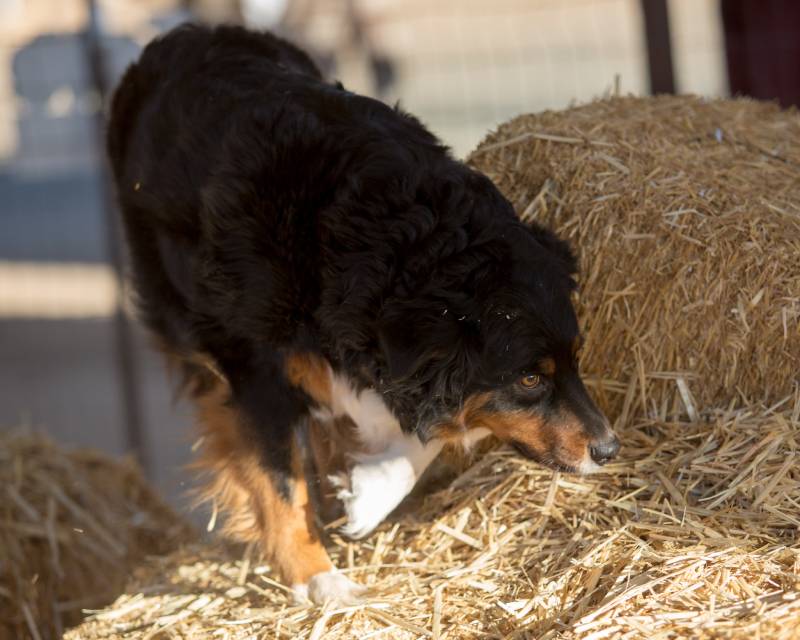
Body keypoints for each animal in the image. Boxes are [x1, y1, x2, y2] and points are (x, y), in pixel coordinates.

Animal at [106, 23, 620, 604]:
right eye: (530, 378)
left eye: (576, 359)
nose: (608, 448)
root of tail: (185, 34)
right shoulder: (255, 369)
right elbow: (280, 480)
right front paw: (316, 577)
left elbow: (426, 428)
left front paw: (367, 492)